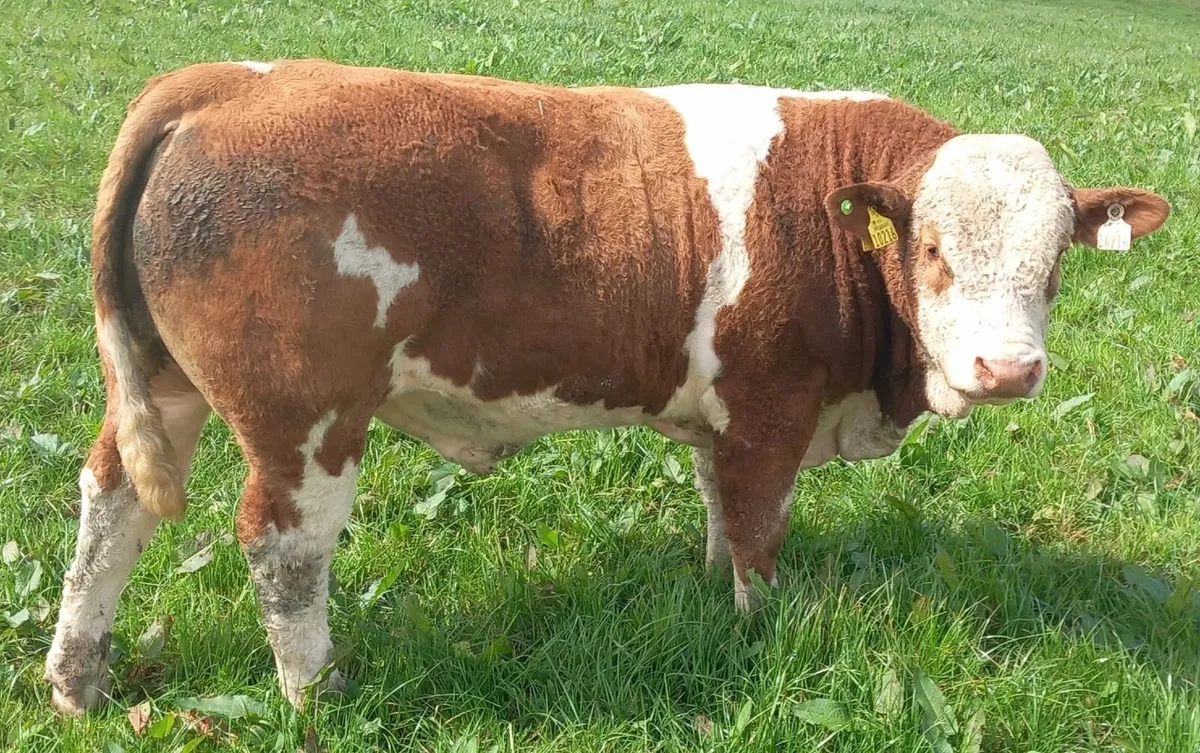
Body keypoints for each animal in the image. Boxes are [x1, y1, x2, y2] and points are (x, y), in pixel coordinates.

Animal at [45, 59, 1170, 713]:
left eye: (1056, 264)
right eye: (931, 250)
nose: (1008, 371)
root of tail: (222, 84)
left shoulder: (726, 417)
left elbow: (720, 507)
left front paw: (709, 594)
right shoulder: (771, 405)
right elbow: (759, 528)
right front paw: (756, 627)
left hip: (163, 385)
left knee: (111, 502)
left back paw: (77, 678)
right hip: (305, 416)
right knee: (282, 547)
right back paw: (317, 692)